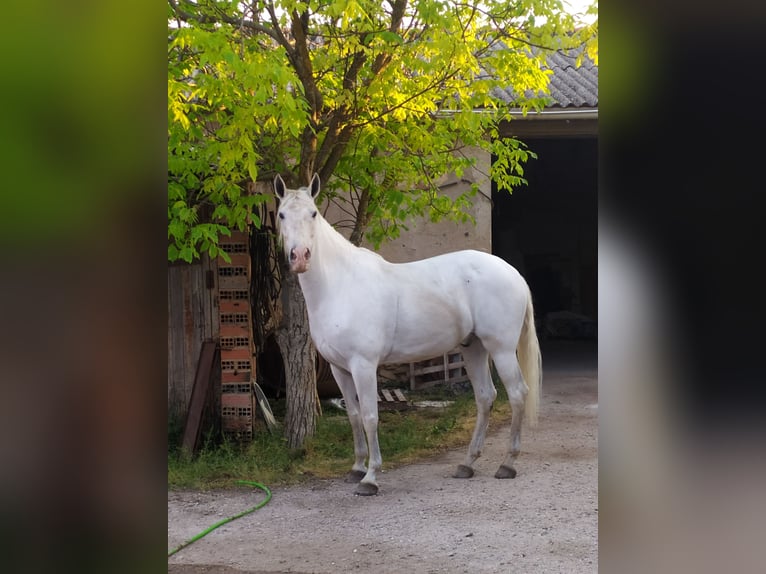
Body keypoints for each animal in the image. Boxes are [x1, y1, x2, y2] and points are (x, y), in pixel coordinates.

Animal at [272, 173, 544, 498]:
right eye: (281, 214)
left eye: (313, 213)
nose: (300, 257)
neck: (340, 285)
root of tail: (513, 273)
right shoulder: (339, 369)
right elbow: (353, 416)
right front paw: (356, 468)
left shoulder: (363, 365)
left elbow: (370, 416)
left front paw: (370, 478)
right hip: (473, 348)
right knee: (485, 397)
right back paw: (467, 464)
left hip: (501, 349)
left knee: (517, 394)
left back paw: (507, 464)